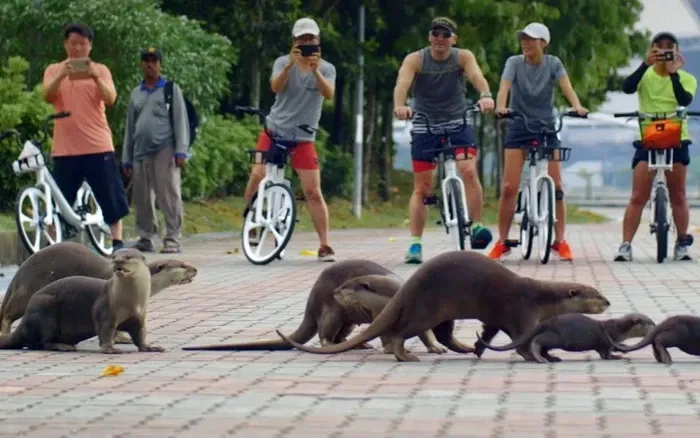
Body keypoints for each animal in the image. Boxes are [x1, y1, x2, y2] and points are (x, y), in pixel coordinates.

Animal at [0, 241, 197, 340]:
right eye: (182, 265)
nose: (195, 269)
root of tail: (22, 268)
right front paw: (120, 337)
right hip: (28, 289)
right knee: (9, 313)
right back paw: (4, 332)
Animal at [0, 248, 163, 354]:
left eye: (128, 257)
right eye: (114, 256)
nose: (118, 261)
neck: (129, 302)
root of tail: (25, 321)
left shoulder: (139, 316)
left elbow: (140, 333)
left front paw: (149, 347)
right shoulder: (105, 310)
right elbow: (105, 331)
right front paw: (110, 348)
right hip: (44, 307)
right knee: (43, 341)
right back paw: (63, 346)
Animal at [180, 258, 442, 354]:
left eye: (347, 287)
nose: (336, 292)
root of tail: (311, 301)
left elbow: (426, 332)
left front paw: (436, 347)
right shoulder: (380, 313)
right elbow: (385, 333)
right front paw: (388, 348)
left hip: (346, 319)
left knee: (341, 335)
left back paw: (360, 344)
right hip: (332, 312)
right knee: (325, 334)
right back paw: (341, 344)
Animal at [276, 250, 608, 362]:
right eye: (594, 294)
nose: (607, 301)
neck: (541, 296)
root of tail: (407, 286)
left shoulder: (498, 317)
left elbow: (490, 331)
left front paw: (480, 347)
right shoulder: (523, 312)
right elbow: (522, 339)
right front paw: (537, 357)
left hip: (442, 313)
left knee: (441, 334)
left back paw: (461, 348)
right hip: (427, 310)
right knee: (402, 331)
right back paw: (405, 355)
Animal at [476, 314, 656, 362]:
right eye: (648, 323)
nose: (655, 324)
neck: (617, 328)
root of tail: (548, 321)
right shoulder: (606, 342)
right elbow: (605, 354)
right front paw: (617, 356)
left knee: (544, 347)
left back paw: (553, 358)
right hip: (557, 337)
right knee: (537, 341)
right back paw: (541, 359)